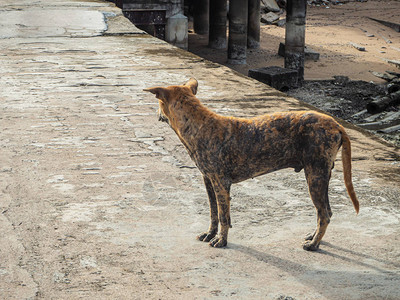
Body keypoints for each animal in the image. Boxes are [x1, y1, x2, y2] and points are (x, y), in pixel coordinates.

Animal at [145, 78, 360, 251]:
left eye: (158, 103)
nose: (156, 113)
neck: (201, 125)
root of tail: (336, 124)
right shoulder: (208, 181)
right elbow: (213, 213)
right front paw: (210, 234)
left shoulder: (221, 184)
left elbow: (223, 216)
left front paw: (221, 240)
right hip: (321, 176)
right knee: (325, 212)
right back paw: (314, 237)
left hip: (315, 177)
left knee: (324, 214)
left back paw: (314, 244)